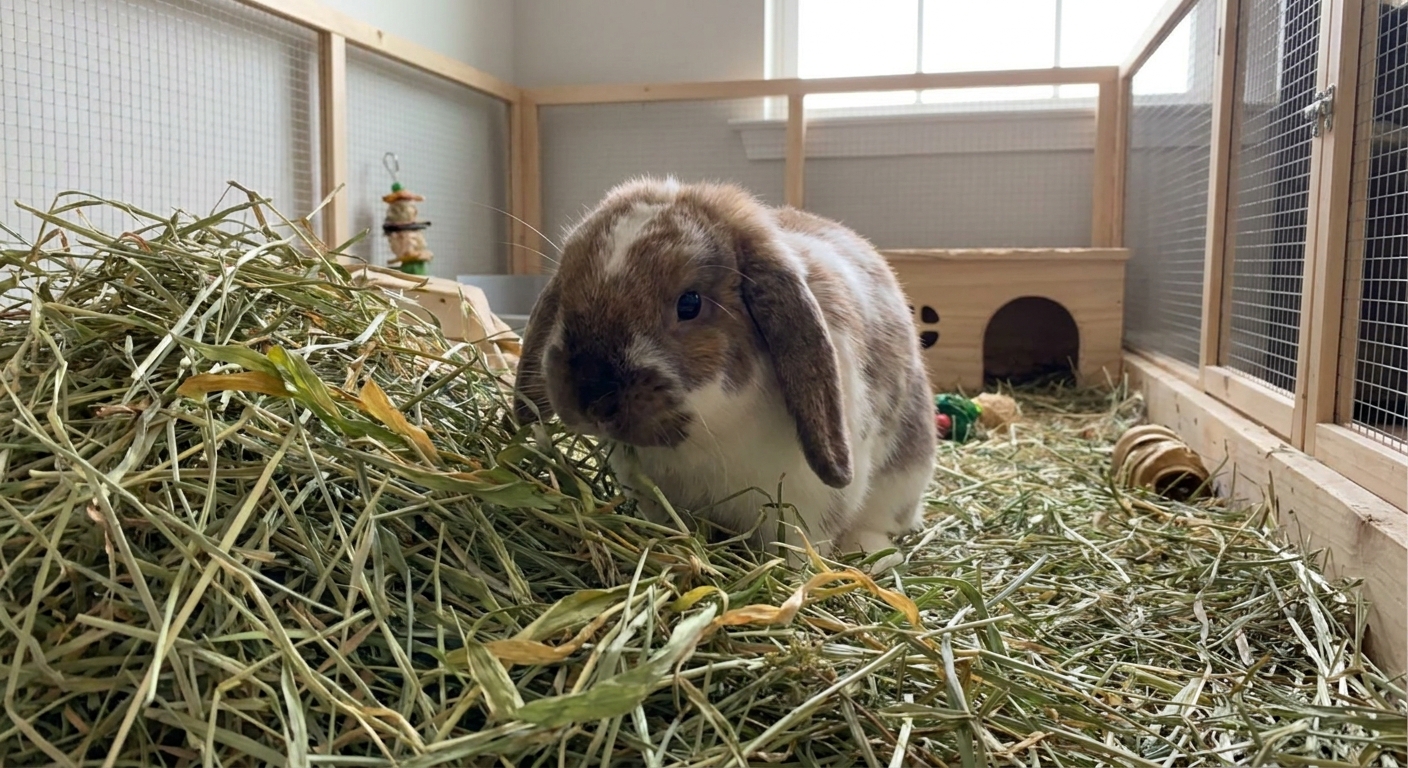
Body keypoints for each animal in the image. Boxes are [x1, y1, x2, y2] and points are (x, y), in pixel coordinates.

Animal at [513, 177, 937, 572]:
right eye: (566, 291)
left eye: (690, 303)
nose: (592, 396)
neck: (708, 434)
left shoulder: (803, 508)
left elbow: (794, 554)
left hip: (902, 480)